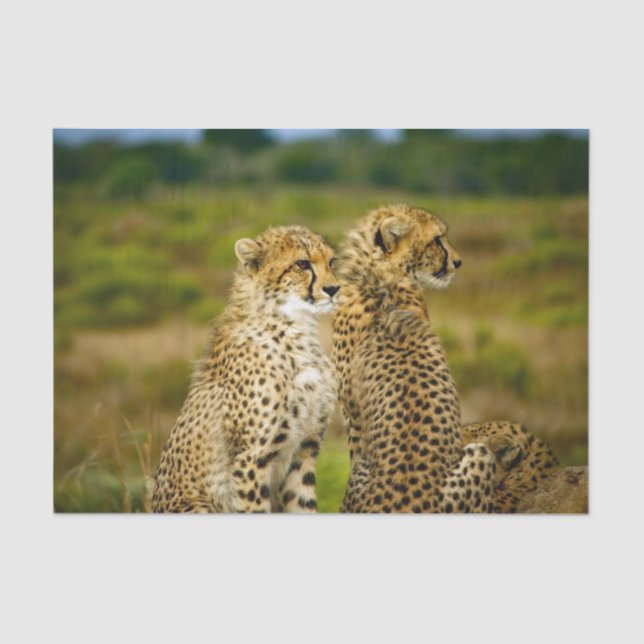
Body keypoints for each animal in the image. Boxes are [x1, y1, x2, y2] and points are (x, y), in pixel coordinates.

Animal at [150, 225, 339, 513]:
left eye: (332, 262)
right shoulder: (251, 459)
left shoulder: (305, 449)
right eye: (302, 264)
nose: (334, 288)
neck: (295, 327)